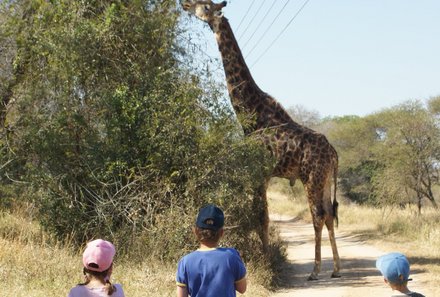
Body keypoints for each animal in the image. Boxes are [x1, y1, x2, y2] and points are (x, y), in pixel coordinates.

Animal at [181, 0, 340, 280]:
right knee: (330, 214)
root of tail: (333, 153)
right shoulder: (263, 175)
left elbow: (261, 217)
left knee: (318, 216)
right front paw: (266, 257)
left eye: (205, 6)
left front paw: (266, 260)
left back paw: (315, 270)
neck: (251, 114)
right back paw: (337, 269)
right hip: (326, 179)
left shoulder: (258, 172)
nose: (185, 3)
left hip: (312, 177)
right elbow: (262, 216)